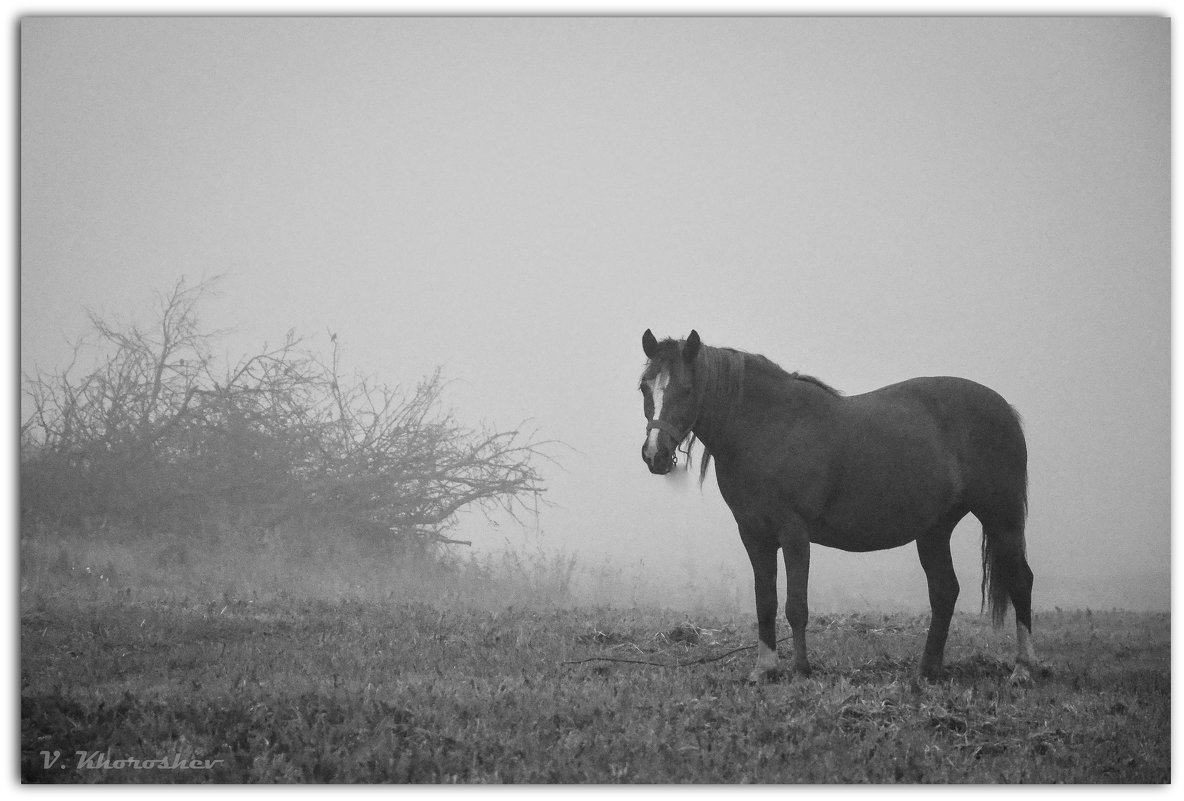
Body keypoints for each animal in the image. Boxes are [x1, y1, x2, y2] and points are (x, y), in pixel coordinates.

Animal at [639, 328, 1037, 686]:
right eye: (645, 387)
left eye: (687, 389)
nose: (654, 454)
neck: (766, 427)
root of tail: (1005, 409)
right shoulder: (754, 535)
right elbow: (765, 602)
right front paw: (764, 670)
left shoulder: (794, 533)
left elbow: (796, 606)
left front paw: (801, 669)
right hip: (935, 530)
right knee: (944, 591)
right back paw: (927, 670)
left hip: (1002, 519)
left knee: (1020, 581)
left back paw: (1023, 669)